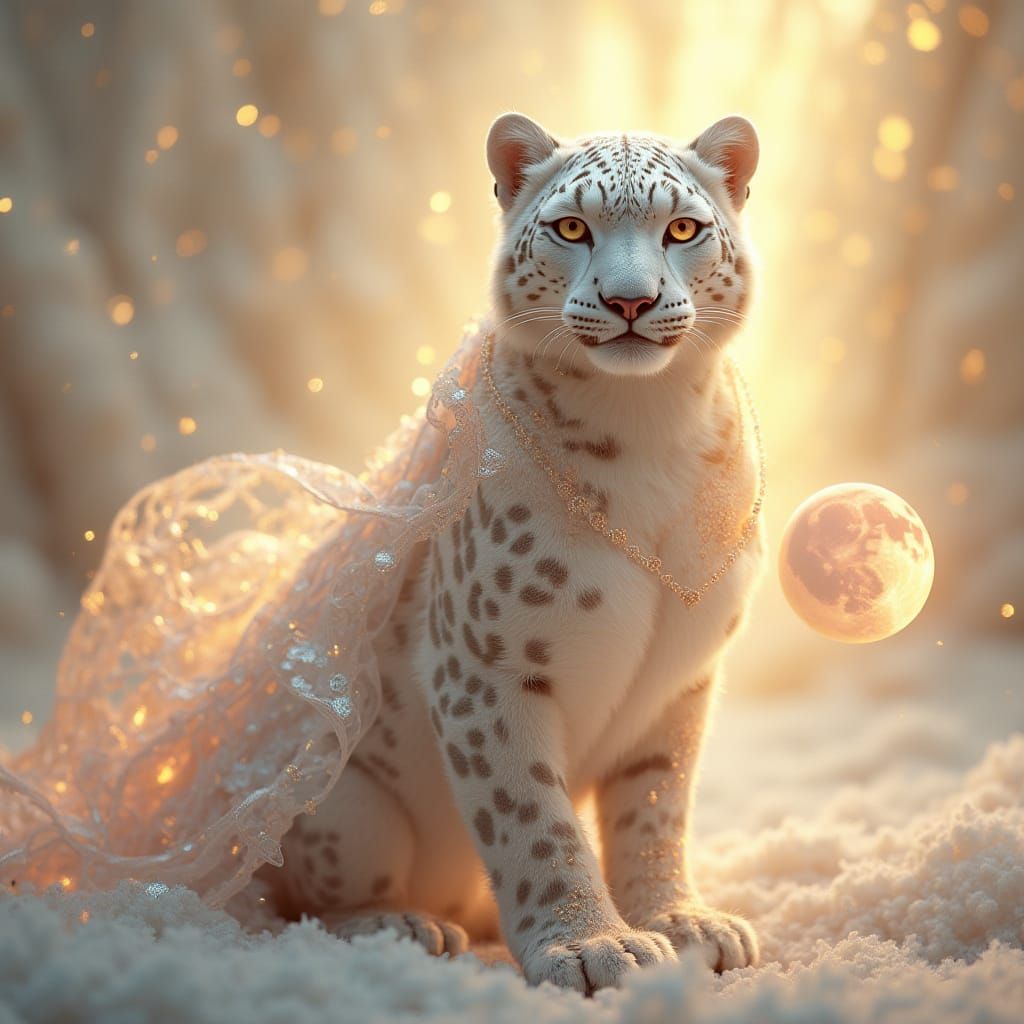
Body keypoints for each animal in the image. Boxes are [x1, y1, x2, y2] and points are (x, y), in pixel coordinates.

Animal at [265, 112, 764, 994]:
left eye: (682, 229)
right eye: (572, 228)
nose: (629, 300)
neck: (652, 424)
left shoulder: (682, 682)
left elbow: (655, 810)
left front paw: (681, 921)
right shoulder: (487, 667)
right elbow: (531, 815)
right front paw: (592, 947)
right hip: (349, 810)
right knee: (309, 901)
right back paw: (404, 926)